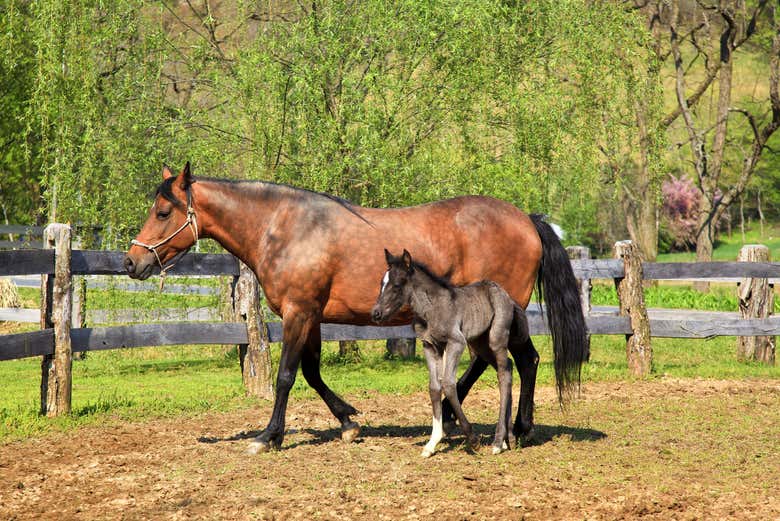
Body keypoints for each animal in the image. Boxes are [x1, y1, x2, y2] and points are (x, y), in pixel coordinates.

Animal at [374, 248, 532, 456]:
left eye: (397, 285)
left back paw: (498, 442)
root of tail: (509, 298)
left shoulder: (456, 342)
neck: (431, 309)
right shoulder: (430, 346)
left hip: (496, 340)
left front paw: (472, 439)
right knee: (507, 368)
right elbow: (434, 387)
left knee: (504, 375)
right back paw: (509, 438)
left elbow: (448, 385)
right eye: (381, 283)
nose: (375, 313)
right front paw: (431, 443)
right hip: (480, 344)